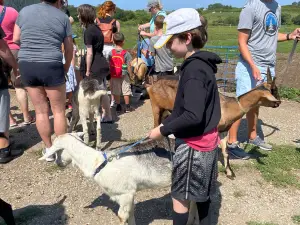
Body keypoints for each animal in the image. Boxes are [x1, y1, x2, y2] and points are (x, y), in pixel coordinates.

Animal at [38, 134, 200, 225]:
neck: (97, 162)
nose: (58, 163)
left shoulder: (125, 194)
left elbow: (122, 217)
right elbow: (131, 213)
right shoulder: (129, 195)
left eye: (57, 152)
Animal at [148, 67, 282, 178]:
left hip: (168, 113)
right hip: (156, 108)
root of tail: (152, 86)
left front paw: (229, 173)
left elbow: (225, 152)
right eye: (273, 89)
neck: (227, 106)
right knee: (155, 128)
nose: (279, 102)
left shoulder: (223, 131)